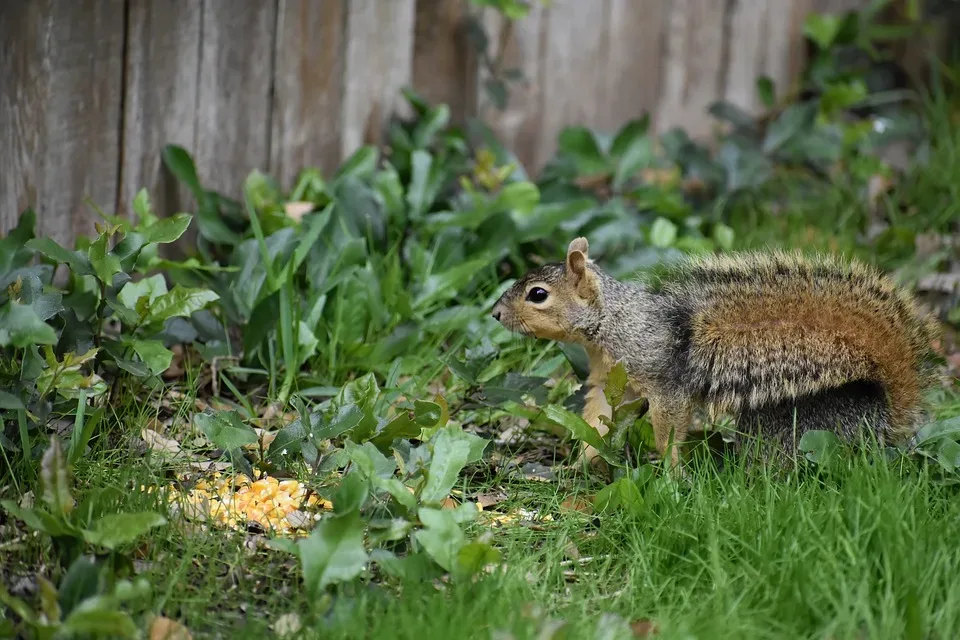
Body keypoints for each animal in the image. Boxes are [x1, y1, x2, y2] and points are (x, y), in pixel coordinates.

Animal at [492, 238, 940, 468]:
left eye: (538, 295)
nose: (495, 314)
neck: (610, 325)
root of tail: (884, 423)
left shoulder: (663, 380)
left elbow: (667, 428)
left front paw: (670, 472)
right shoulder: (608, 380)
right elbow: (597, 418)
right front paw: (581, 462)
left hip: (794, 433)